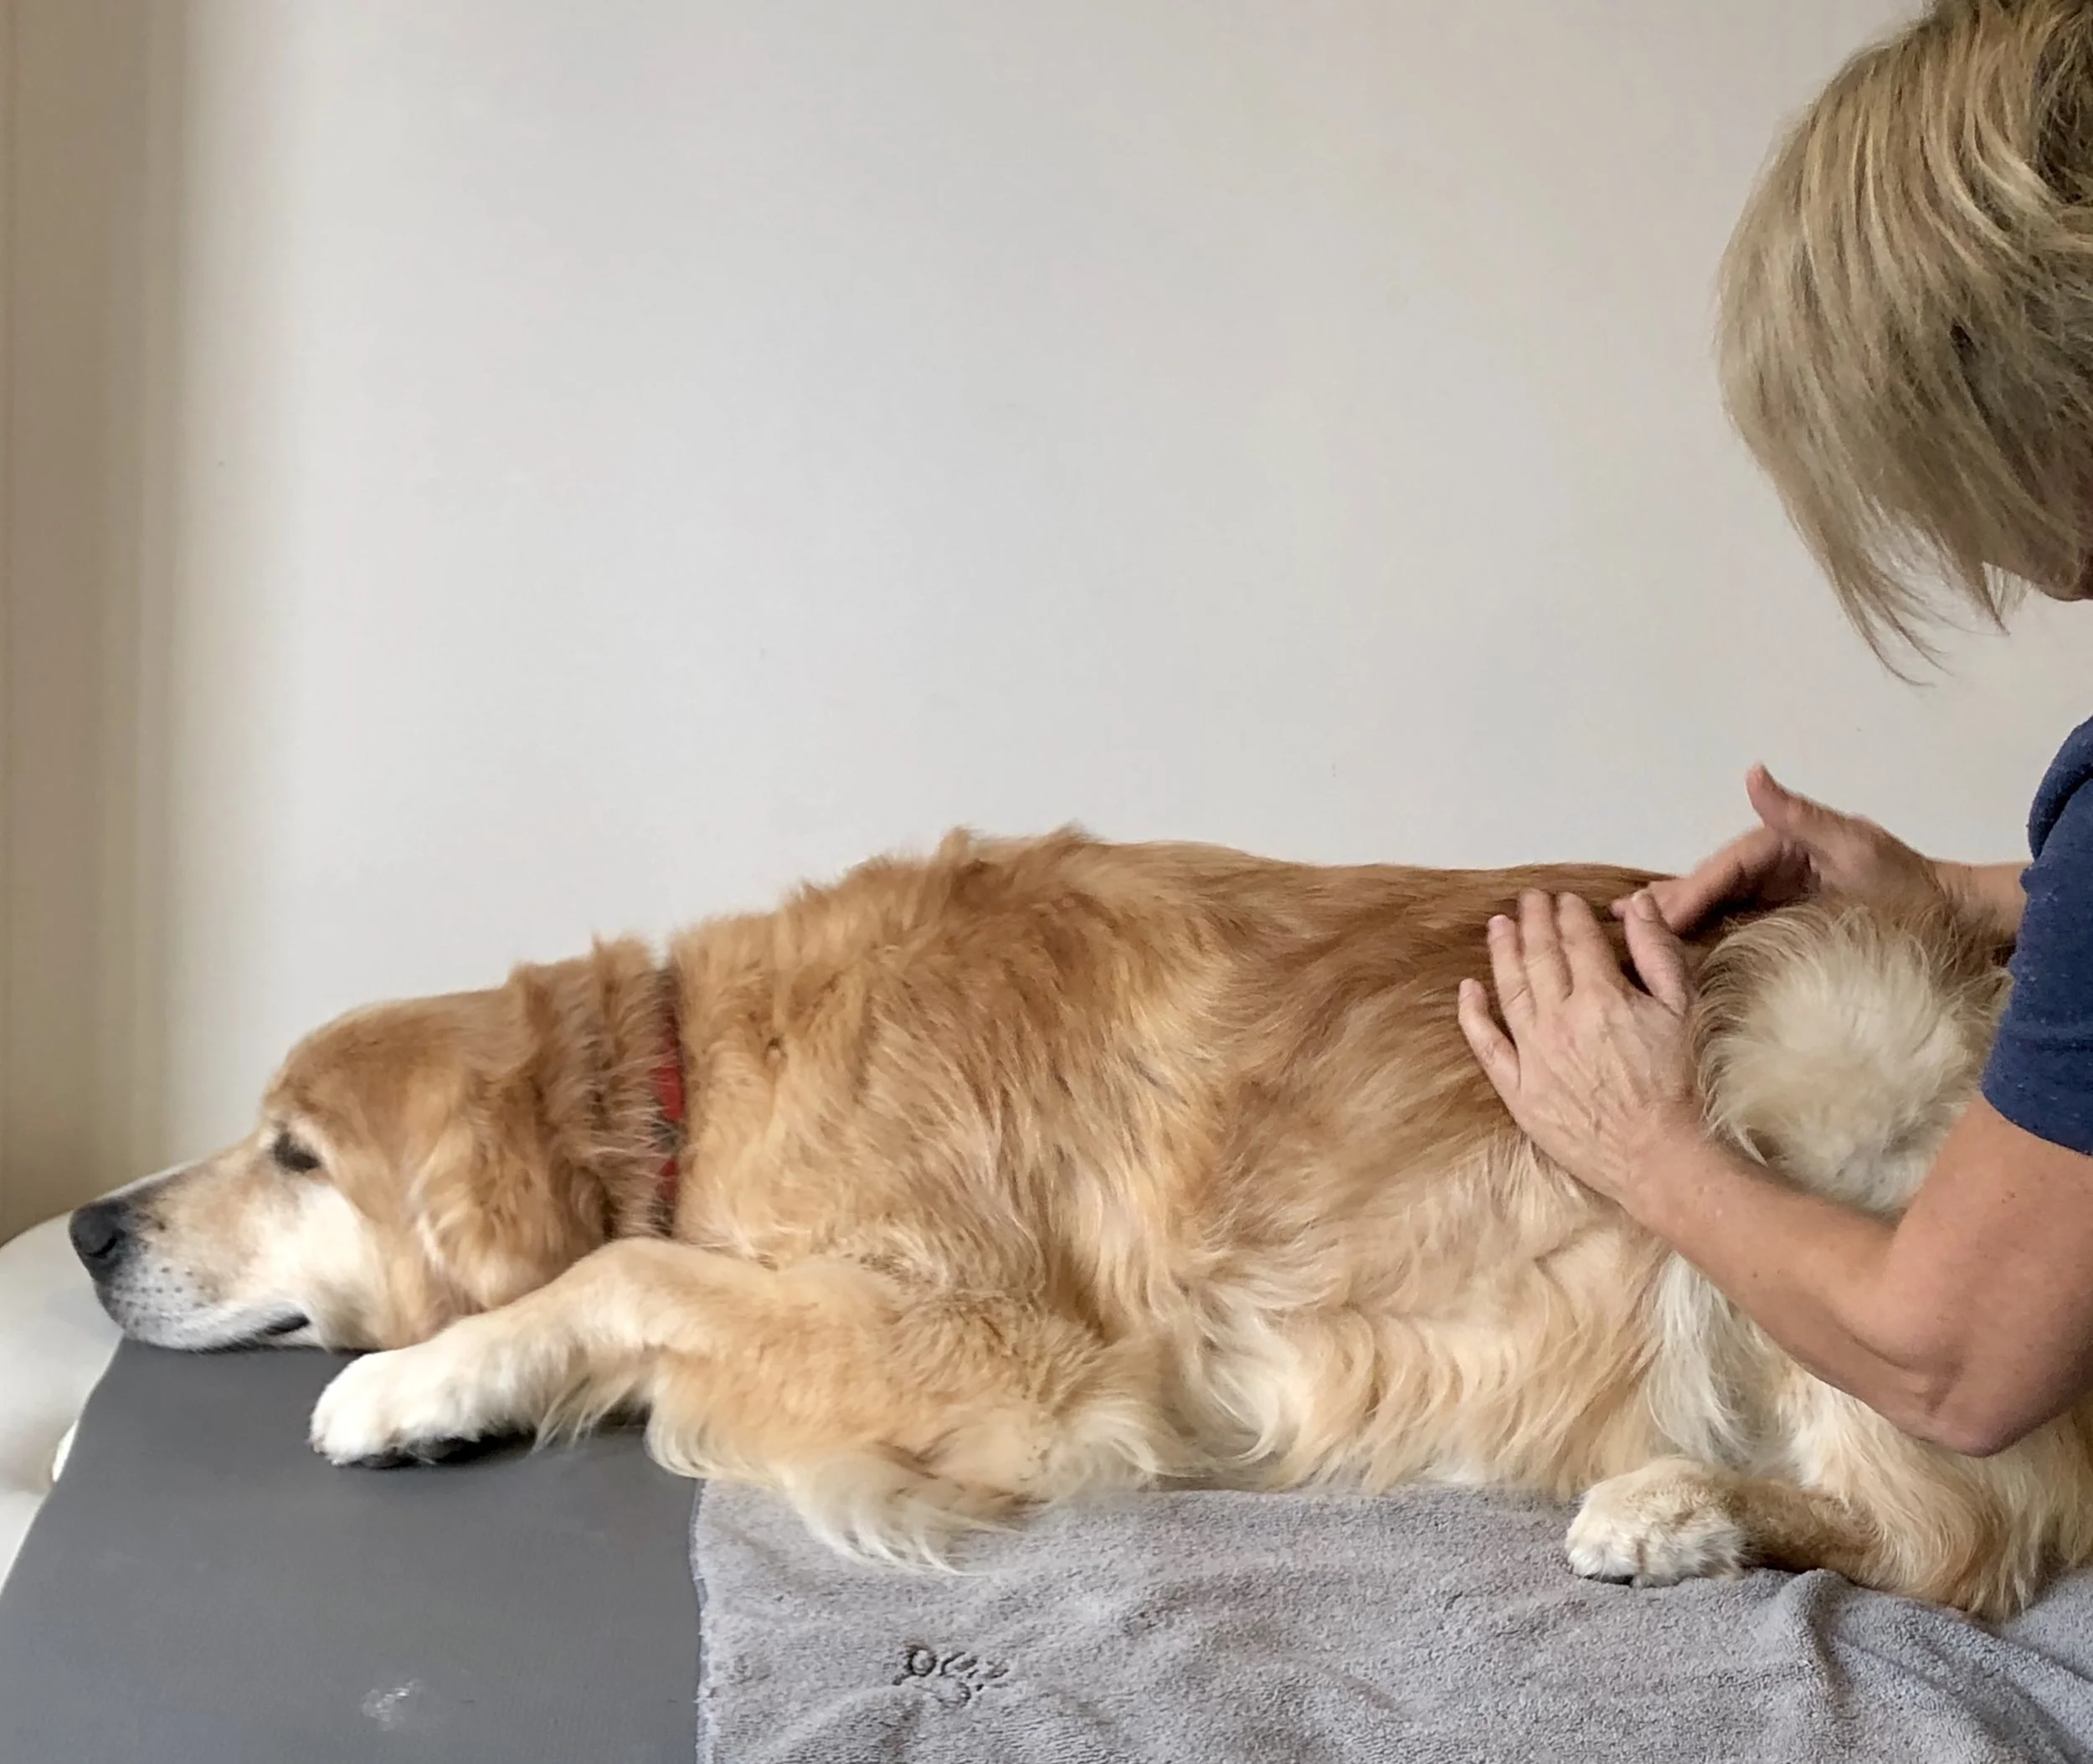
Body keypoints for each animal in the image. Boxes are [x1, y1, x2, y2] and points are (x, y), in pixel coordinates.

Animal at [70, 829, 2086, 1618]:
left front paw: (415, 1383)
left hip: (1809, 1043)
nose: (86, 1227)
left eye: (295, 1153)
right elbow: (641, 1277)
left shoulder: (1014, 1351)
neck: (690, 1069)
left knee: (1960, 1544)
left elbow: (629, 1264)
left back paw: (1680, 1510)